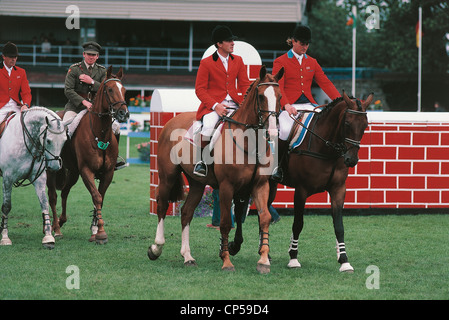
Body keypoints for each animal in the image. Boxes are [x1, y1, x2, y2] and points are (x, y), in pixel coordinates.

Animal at [0, 106, 67, 249]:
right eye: (48, 140)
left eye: (65, 140)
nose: (54, 166)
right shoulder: (8, 178)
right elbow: (6, 206)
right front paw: (5, 237)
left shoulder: (39, 179)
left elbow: (44, 203)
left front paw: (48, 237)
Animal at [46, 66, 129, 244]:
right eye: (110, 89)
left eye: (124, 90)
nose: (123, 114)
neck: (100, 132)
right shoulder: (86, 171)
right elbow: (96, 197)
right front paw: (101, 232)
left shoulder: (107, 173)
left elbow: (100, 198)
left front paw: (95, 229)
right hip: (52, 170)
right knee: (53, 196)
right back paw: (56, 229)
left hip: (73, 172)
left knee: (64, 192)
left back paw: (61, 222)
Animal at [148, 66, 284, 274]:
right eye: (261, 96)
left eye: (280, 96)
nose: (272, 131)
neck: (248, 142)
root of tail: (173, 120)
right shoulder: (227, 187)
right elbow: (226, 223)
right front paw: (226, 261)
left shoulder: (260, 185)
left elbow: (264, 218)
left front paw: (263, 260)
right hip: (167, 177)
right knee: (162, 205)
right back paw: (156, 248)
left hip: (197, 183)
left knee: (186, 212)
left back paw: (188, 257)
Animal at [268, 90, 372, 272]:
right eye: (347, 123)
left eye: (365, 125)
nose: (351, 160)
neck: (327, 148)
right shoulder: (301, 191)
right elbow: (298, 223)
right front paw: (293, 258)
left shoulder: (338, 190)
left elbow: (339, 226)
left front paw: (344, 260)